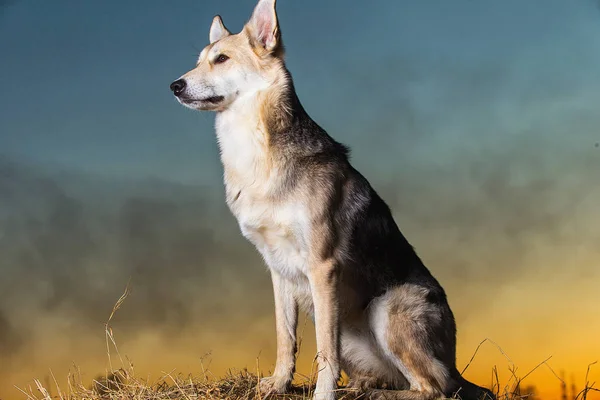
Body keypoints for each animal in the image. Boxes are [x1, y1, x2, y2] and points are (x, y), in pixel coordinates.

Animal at [168, 1, 492, 398]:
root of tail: (456, 365)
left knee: (432, 387)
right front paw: (279, 383)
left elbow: (324, 348)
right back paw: (362, 387)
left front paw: (322, 393)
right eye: (200, 61)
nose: (174, 85)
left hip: (386, 308)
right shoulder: (278, 270)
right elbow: (285, 336)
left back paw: (379, 394)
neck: (254, 151)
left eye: (222, 59)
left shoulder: (322, 268)